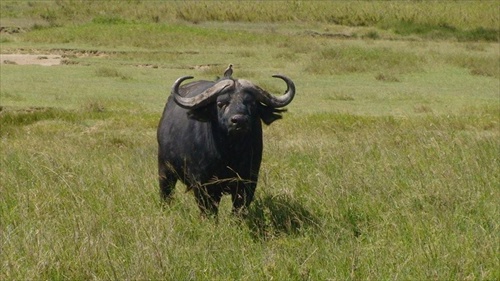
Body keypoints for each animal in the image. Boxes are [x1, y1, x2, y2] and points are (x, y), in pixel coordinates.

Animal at [158, 71, 294, 214]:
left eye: (251, 103)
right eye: (221, 103)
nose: (239, 121)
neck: (229, 153)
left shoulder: (248, 182)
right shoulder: (203, 184)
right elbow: (209, 210)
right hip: (164, 171)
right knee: (166, 194)